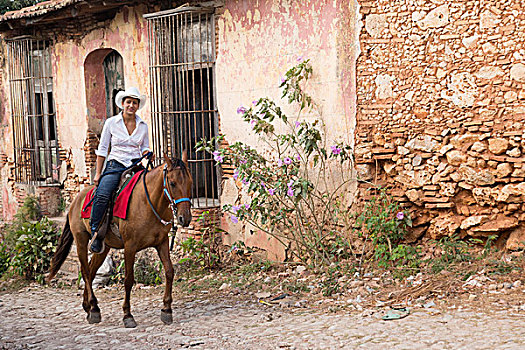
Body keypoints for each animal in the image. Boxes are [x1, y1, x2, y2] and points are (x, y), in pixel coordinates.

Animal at [47, 153, 192, 328]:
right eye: (172, 183)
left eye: (190, 182)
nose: (185, 218)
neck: (149, 202)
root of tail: (76, 200)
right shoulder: (130, 247)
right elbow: (129, 279)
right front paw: (127, 315)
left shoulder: (161, 242)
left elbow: (169, 272)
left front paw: (166, 310)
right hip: (81, 240)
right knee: (86, 271)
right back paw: (94, 309)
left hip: (103, 247)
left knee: (92, 270)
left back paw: (88, 306)